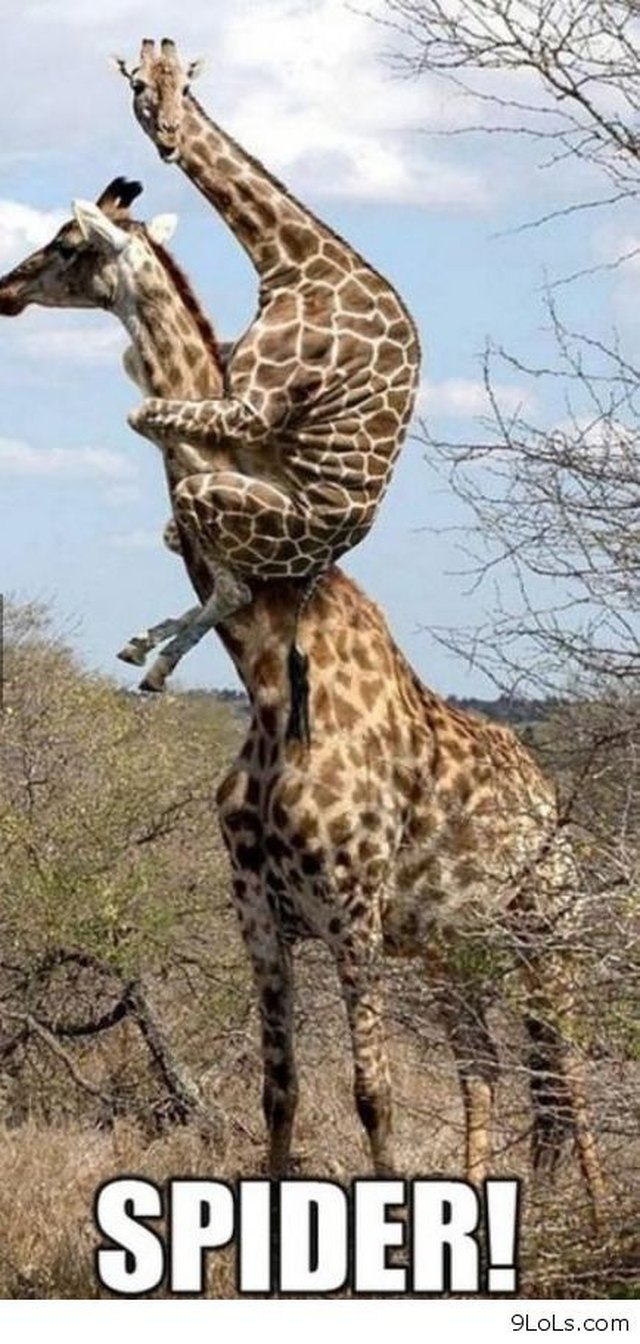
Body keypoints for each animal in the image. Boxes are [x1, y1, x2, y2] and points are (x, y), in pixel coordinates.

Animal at [0, 193, 604, 1221]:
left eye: (70, 242)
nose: (5, 289)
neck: (269, 680)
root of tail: (548, 802)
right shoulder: (260, 915)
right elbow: (280, 1091)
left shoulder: (353, 914)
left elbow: (373, 1094)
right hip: (451, 950)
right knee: (488, 1067)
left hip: (543, 936)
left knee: (567, 1079)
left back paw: (596, 1223)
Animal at [112, 39, 421, 720]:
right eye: (140, 85)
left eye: (184, 88)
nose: (169, 137)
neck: (291, 262)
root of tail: (329, 553)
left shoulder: (250, 407)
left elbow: (147, 412)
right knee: (199, 559)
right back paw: (142, 648)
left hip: (222, 501)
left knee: (234, 582)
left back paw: (156, 661)